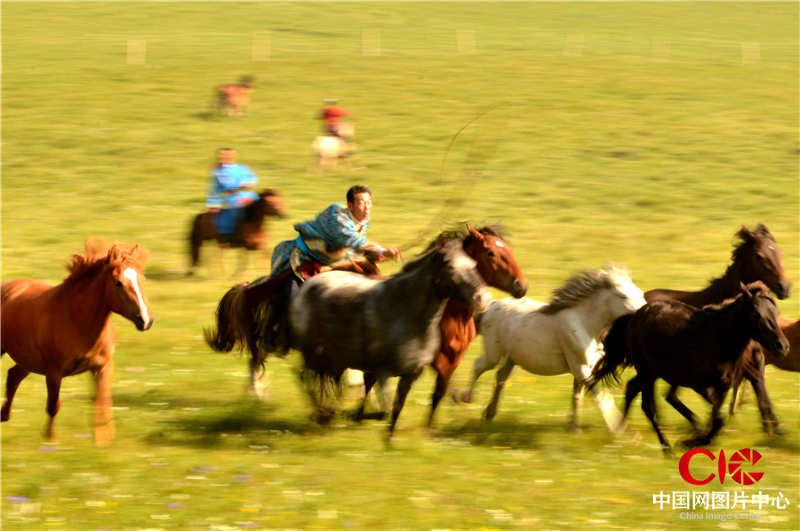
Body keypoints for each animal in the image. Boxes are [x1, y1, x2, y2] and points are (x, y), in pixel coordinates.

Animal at [1, 243, 153, 446]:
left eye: (142, 279)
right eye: (118, 283)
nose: (146, 320)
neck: (76, 319)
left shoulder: (103, 367)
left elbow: (102, 404)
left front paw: (103, 442)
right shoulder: (54, 372)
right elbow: (53, 407)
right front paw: (49, 441)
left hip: (28, 360)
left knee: (13, 376)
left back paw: (4, 417)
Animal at [462, 268, 644, 434]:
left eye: (640, 293)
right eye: (623, 296)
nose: (643, 313)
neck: (585, 324)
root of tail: (491, 307)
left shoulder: (585, 369)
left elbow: (577, 397)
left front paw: (573, 429)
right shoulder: (580, 368)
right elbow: (602, 397)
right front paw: (619, 428)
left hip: (511, 358)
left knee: (500, 378)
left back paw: (489, 413)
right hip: (493, 354)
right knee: (478, 366)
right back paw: (466, 399)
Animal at [592, 280, 792, 456]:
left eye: (775, 312)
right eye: (757, 314)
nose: (782, 346)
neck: (720, 339)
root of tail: (634, 316)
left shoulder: (723, 387)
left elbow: (717, 420)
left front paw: (695, 439)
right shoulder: (701, 385)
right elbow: (717, 419)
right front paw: (687, 442)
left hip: (655, 372)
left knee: (633, 388)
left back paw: (619, 430)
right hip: (647, 371)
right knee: (648, 407)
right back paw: (666, 448)